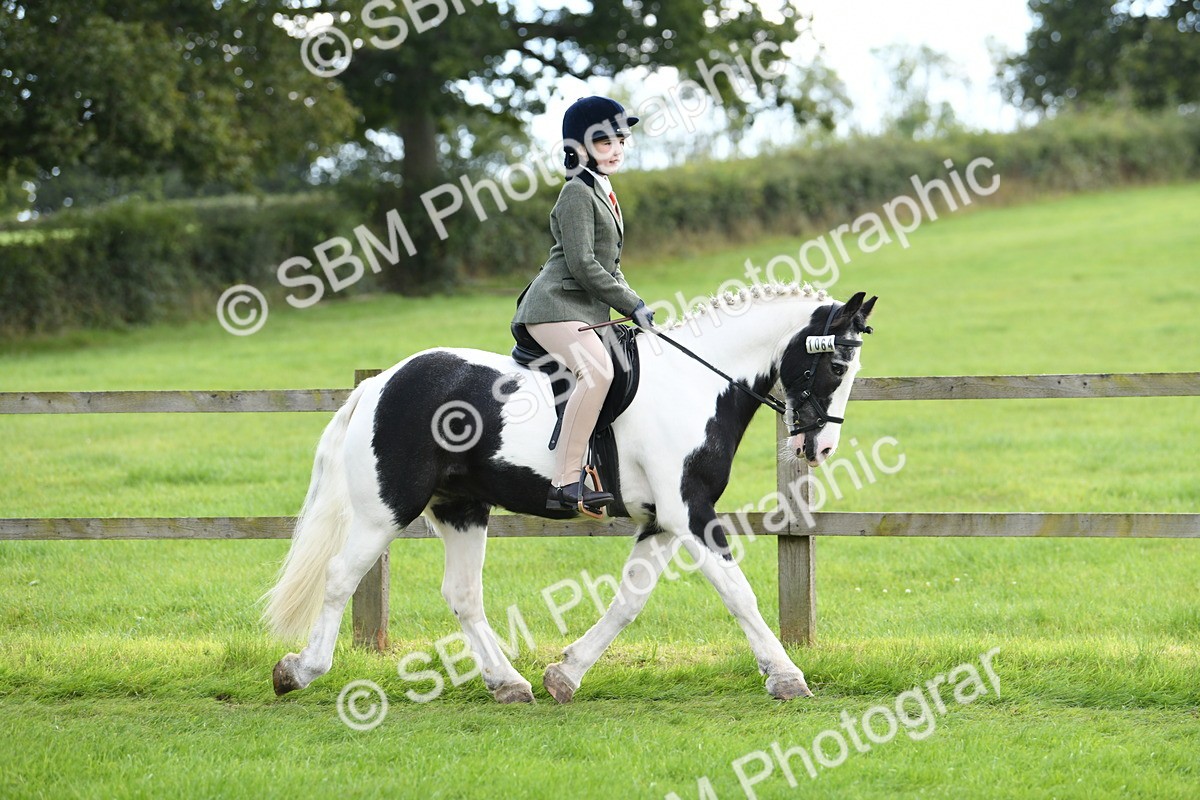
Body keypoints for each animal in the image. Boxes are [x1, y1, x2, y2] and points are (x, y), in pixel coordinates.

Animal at [265, 283, 876, 703]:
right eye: (836, 364)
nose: (820, 447)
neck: (696, 383)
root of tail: (379, 383)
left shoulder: (662, 520)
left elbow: (629, 600)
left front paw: (565, 673)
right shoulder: (690, 512)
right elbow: (738, 592)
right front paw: (787, 676)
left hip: (461, 508)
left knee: (463, 595)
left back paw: (508, 683)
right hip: (385, 511)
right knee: (340, 577)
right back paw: (299, 670)